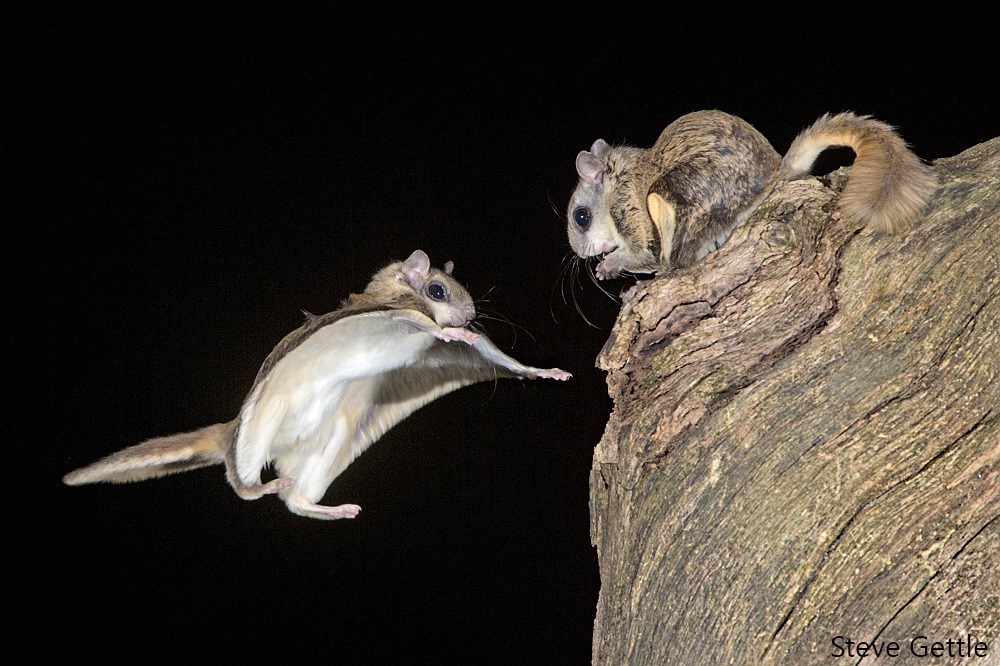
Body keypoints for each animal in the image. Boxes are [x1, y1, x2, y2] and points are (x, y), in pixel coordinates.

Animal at [64, 250, 571, 520]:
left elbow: (497, 356)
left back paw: (327, 508)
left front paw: (541, 372)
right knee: (240, 481)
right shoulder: (397, 313)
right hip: (256, 430)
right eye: (438, 290)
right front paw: (455, 333)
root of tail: (232, 431)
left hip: (335, 434)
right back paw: (259, 488)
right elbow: (426, 325)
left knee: (296, 502)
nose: (468, 315)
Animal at [566, 110, 938, 279]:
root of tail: (773, 174)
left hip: (672, 194)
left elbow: (643, 253)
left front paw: (609, 265)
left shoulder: (630, 209)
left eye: (581, 217)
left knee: (678, 259)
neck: (617, 181)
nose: (582, 255)